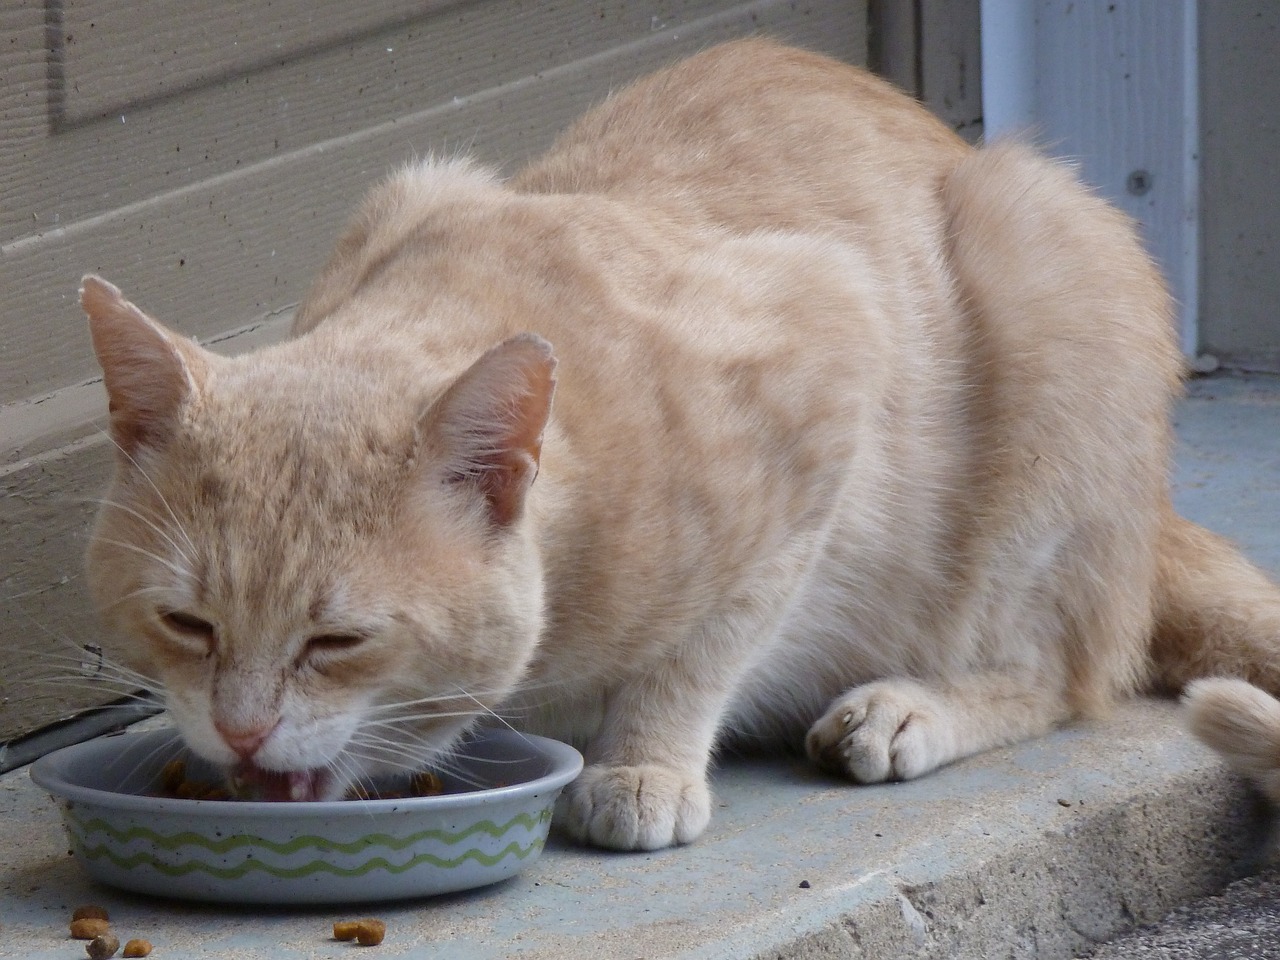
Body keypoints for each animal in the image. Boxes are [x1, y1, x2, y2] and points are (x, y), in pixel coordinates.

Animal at [77, 39, 1280, 849]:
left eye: (338, 642)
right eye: (186, 625)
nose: (239, 735)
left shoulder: (829, 364)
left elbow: (704, 647)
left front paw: (642, 765)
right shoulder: (411, 184)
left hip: (1045, 283)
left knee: (1063, 670)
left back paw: (910, 706)